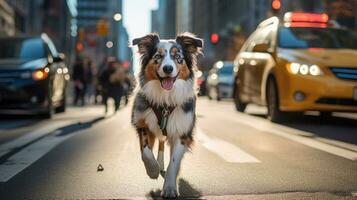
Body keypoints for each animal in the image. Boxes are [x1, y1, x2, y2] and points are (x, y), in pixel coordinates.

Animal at [131, 32, 203, 198]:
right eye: (157, 56)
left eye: (178, 57)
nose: (168, 68)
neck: (165, 99)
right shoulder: (142, 122)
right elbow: (146, 152)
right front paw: (153, 170)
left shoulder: (182, 132)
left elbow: (174, 162)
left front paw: (170, 187)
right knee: (161, 141)